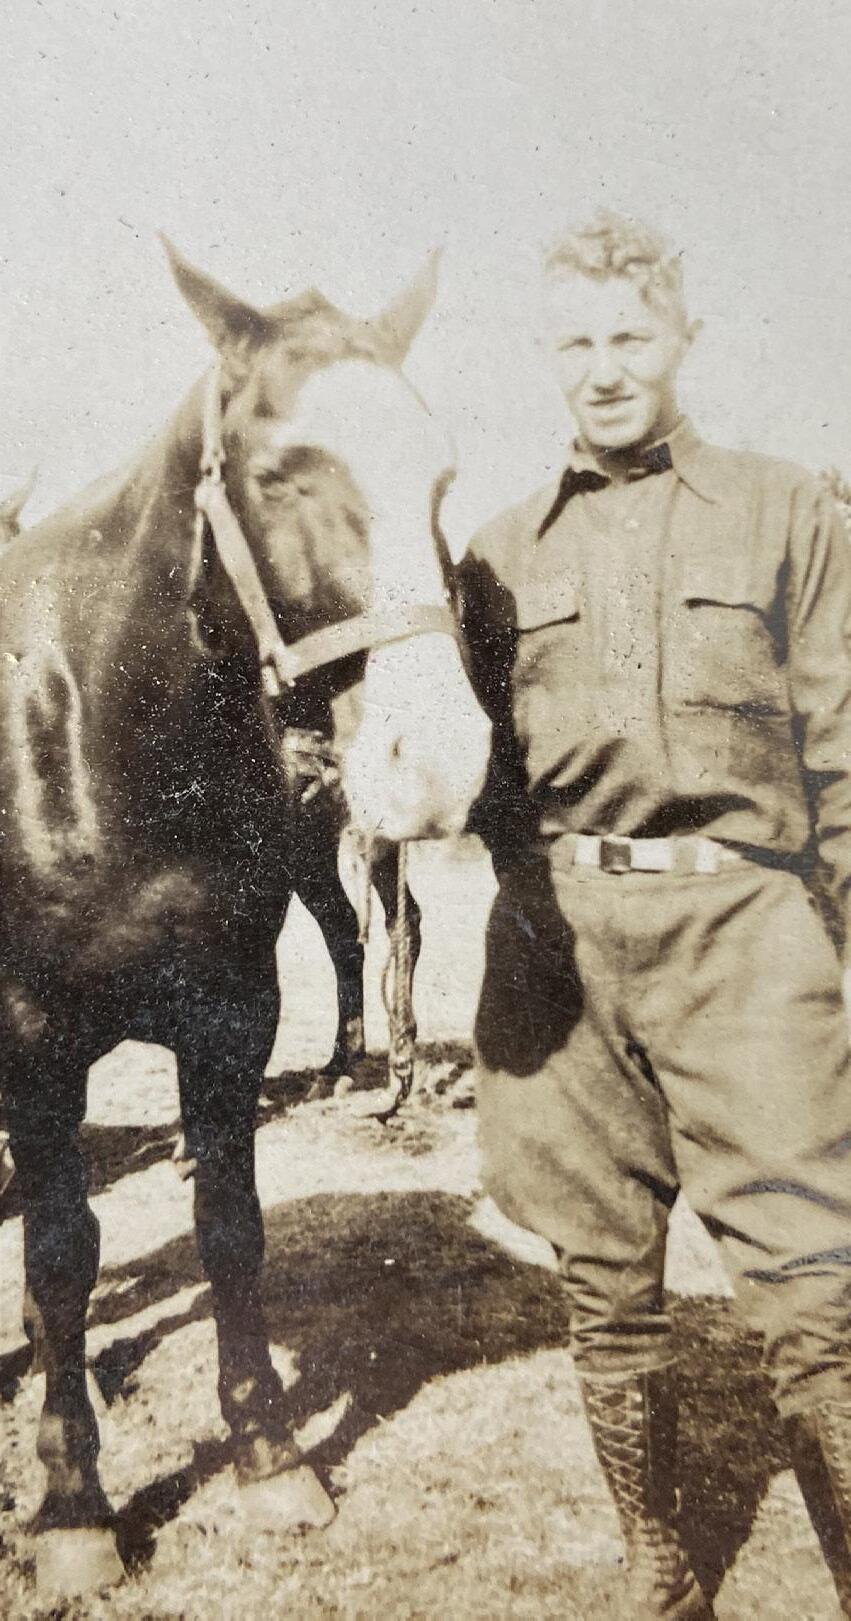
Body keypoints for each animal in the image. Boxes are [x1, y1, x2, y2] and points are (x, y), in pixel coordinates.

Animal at [0, 238, 491, 1601]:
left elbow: (230, 1232)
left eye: (439, 469)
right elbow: (59, 1256)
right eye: (278, 473)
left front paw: (268, 1452)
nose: (437, 761)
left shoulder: (229, 1018)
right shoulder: (34, 1046)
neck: (101, 738)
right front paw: (72, 1505)